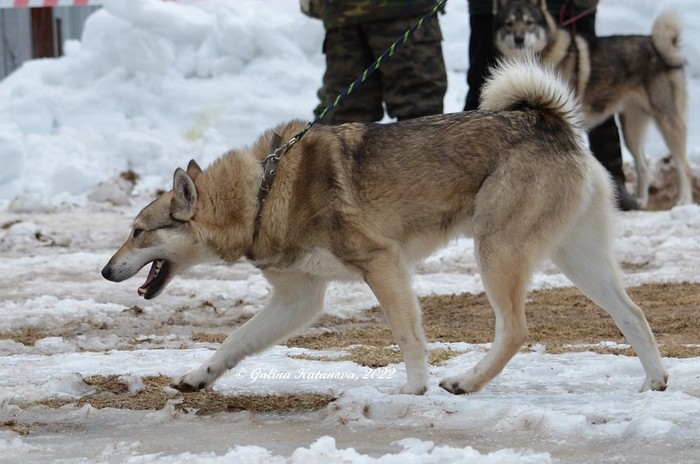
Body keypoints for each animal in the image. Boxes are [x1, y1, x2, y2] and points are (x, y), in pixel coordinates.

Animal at [100, 54, 668, 396]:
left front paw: (414, 390)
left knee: (517, 330)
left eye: (138, 231)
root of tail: (548, 122)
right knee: (635, 313)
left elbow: (407, 335)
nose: (105, 271)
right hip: (577, 260)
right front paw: (198, 377)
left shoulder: (382, 265)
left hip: (496, 253)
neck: (262, 192)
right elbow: (233, 343)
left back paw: (465, 382)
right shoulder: (298, 300)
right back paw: (655, 382)